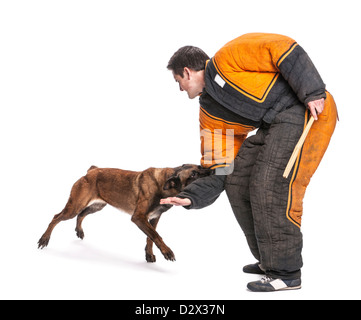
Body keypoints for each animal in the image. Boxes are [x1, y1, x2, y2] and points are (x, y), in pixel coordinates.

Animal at [37, 165, 210, 262]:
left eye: (200, 167)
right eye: (194, 174)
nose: (210, 170)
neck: (163, 183)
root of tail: (91, 171)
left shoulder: (153, 219)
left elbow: (150, 237)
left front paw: (149, 255)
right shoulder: (139, 218)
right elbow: (156, 236)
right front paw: (167, 251)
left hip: (97, 206)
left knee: (81, 215)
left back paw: (79, 231)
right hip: (74, 207)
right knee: (56, 217)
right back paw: (44, 239)